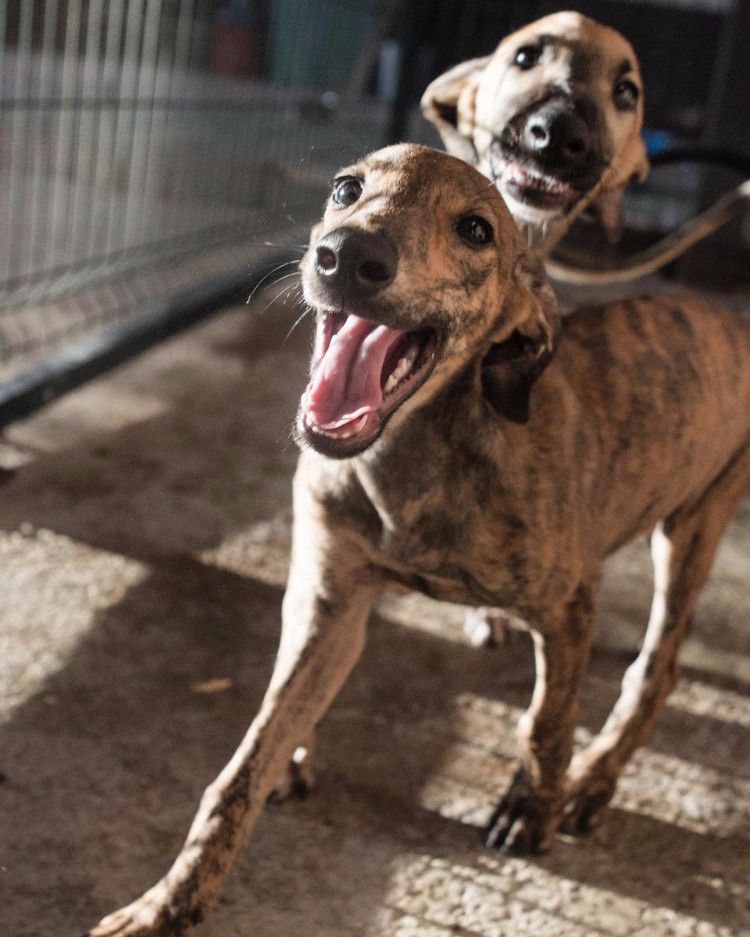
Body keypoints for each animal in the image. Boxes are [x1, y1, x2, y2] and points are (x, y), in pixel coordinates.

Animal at [89, 143, 750, 932]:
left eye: (475, 229)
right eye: (347, 189)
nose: (348, 256)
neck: (419, 455)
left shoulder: (569, 606)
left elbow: (546, 720)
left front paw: (533, 808)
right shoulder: (329, 602)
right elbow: (244, 765)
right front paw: (168, 900)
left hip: (694, 524)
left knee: (659, 666)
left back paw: (592, 780)